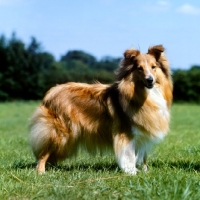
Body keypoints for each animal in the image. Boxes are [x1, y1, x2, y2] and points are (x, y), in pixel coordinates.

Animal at [28, 44, 173, 174]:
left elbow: (143, 155)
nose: (150, 80)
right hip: (60, 133)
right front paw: (131, 172)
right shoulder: (126, 133)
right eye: (139, 68)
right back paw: (41, 171)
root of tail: (51, 93)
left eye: (154, 67)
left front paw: (145, 171)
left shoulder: (143, 132)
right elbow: (130, 155)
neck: (145, 94)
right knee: (43, 153)